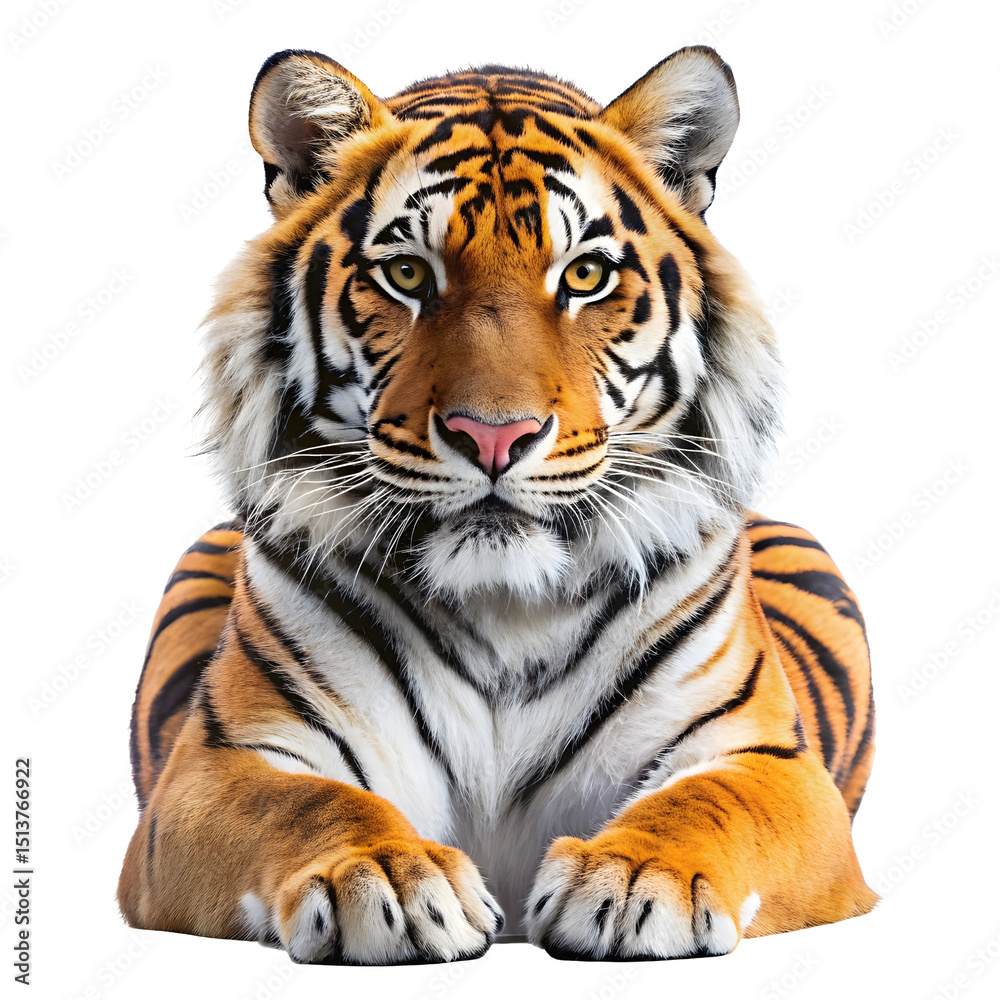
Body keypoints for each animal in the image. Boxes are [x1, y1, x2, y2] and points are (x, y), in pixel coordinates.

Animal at [118, 46, 877, 964]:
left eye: (585, 274)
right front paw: (387, 878)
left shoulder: (768, 758)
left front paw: (635, 879)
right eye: (407, 273)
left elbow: (704, 803)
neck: (503, 603)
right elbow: (308, 802)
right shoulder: (219, 762)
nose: (493, 435)